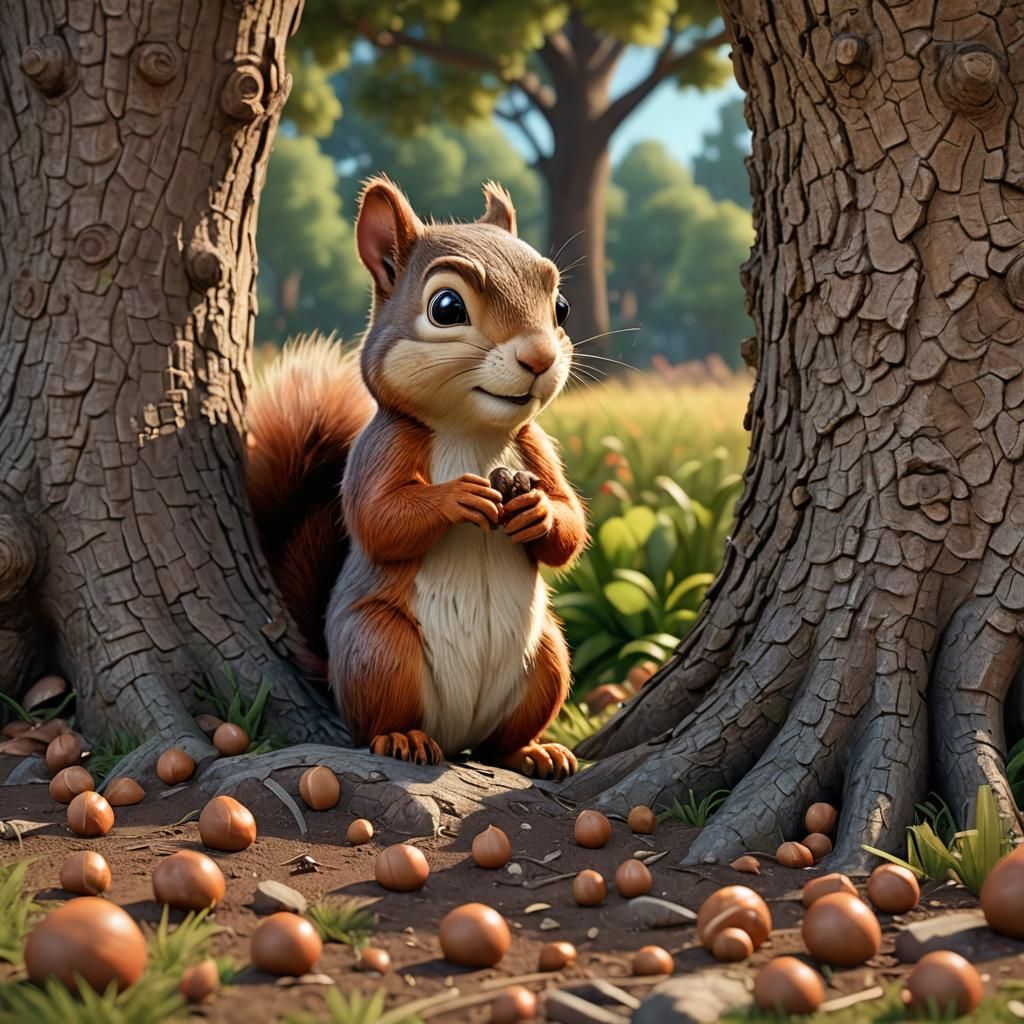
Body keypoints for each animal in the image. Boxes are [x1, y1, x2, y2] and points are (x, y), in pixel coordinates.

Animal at [245, 176, 588, 779]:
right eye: (446, 307)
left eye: (561, 307)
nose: (541, 358)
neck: (472, 430)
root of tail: (455, 739)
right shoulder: (382, 446)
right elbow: (378, 521)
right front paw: (458, 497)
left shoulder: (536, 447)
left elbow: (570, 525)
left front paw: (539, 510)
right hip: (380, 651)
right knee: (377, 724)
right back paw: (403, 738)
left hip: (546, 656)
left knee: (501, 742)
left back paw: (534, 752)